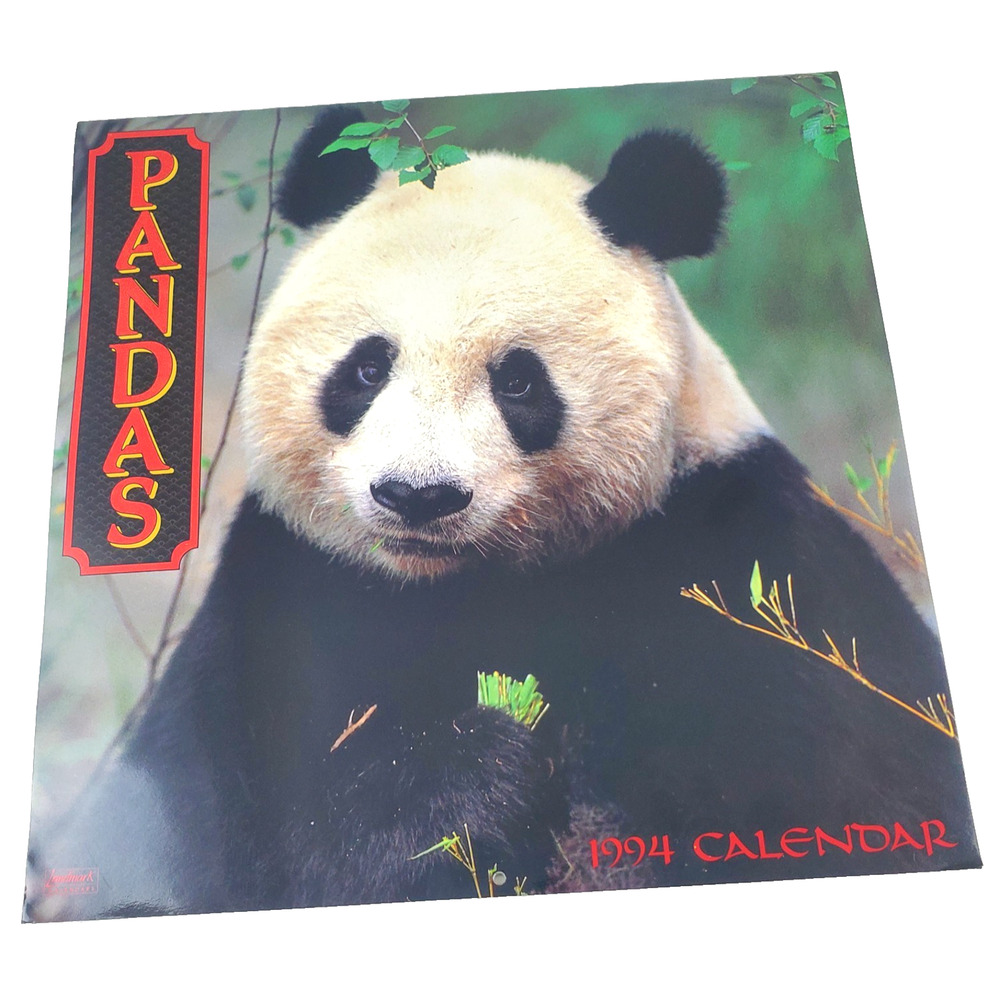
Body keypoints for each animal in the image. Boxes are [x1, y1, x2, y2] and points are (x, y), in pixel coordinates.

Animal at [29, 106, 978, 919]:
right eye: (366, 367)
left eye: (518, 381)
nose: (418, 496)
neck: (467, 585)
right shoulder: (284, 595)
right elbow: (242, 832)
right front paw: (476, 785)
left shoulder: (733, 553)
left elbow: (859, 791)